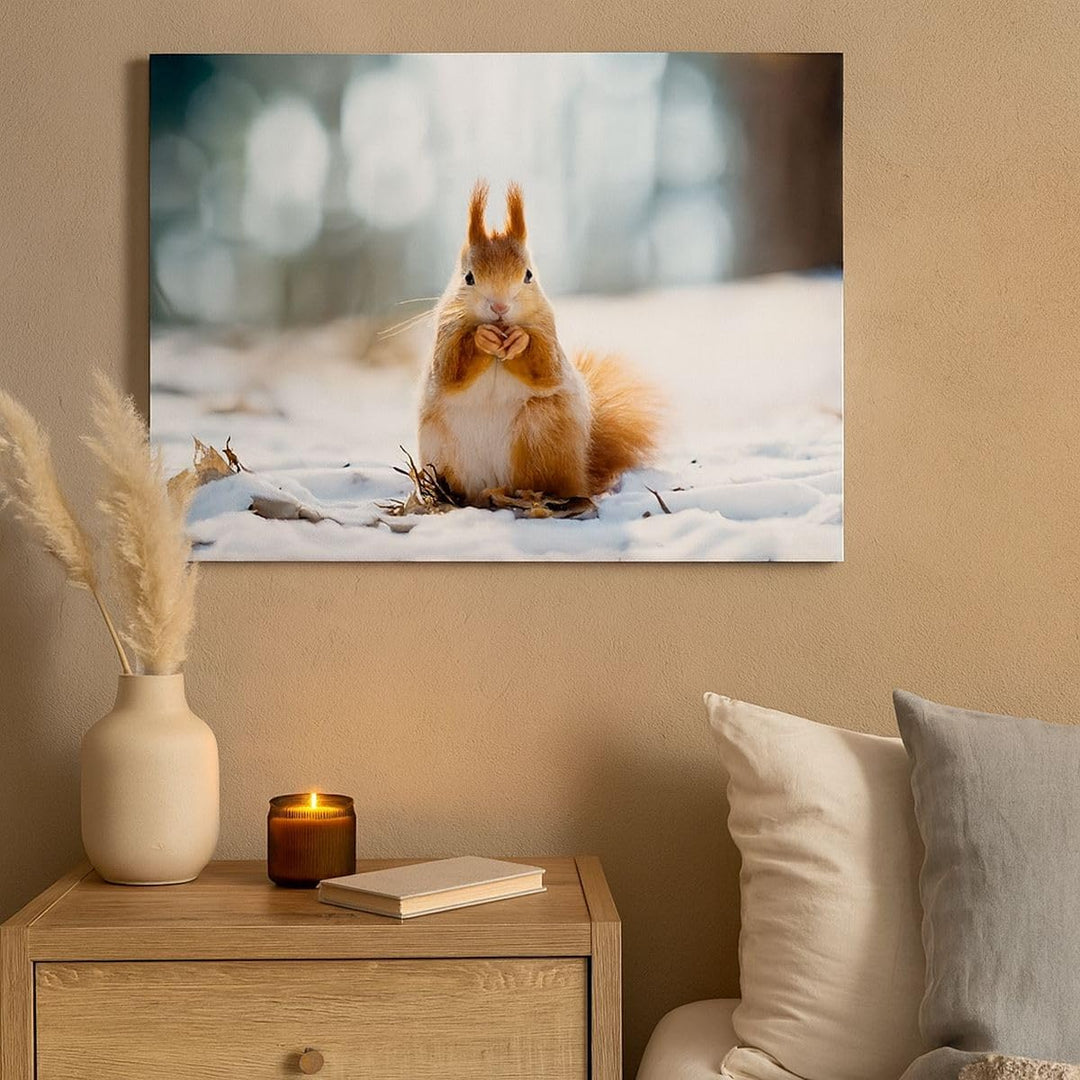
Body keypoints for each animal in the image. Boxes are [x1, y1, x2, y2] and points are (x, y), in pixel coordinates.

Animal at [418, 181, 661, 505]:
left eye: (528, 275)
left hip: (541, 433)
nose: (499, 307)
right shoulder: (446, 333)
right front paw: (482, 338)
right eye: (468, 277)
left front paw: (520, 341)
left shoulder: (548, 332)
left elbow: (546, 368)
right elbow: (450, 370)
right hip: (444, 452)